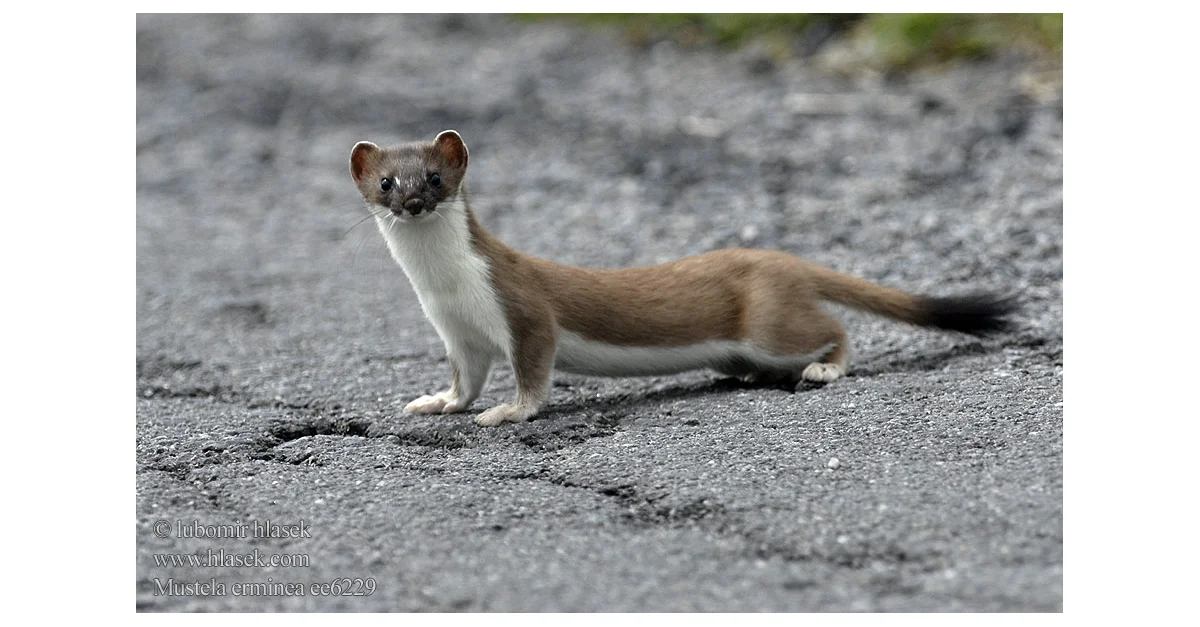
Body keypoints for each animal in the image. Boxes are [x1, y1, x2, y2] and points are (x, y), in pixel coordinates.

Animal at [348, 130, 1012, 425]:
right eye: (386, 181)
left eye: (436, 176)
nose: (412, 202)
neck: (445, 287)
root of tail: (779, 257)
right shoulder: (454, 332)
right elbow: (464, 379)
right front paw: (435, 402)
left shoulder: (523, 308)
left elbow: (534, 370)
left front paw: (508, 412)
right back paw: (750, 377)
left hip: (769, 321)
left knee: (834, 328)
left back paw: (823, 368)